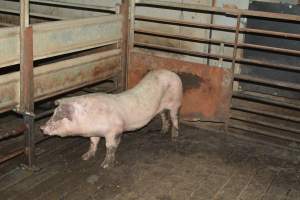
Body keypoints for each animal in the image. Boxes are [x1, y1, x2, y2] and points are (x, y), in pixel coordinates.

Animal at [40, 69, 183, 169]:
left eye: (59, 117)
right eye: (53, 113)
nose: (41, 127)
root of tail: (173, 74)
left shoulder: (115, 130)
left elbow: (110, 147)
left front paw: (105, 165)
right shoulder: (94, 133)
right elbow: (93, 143)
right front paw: (85, 157)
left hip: (176, 102)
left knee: (175, 118)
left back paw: (174, 138)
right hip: (161, 107)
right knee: (164, 116)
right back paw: (162, 132)